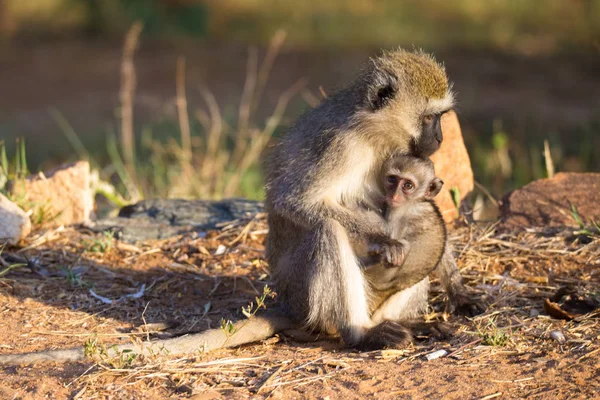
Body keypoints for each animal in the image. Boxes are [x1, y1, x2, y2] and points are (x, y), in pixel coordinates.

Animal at [356, 153, 446, 312]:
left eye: (408, 185)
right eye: (392, 179)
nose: (394, 196)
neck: (417, 201)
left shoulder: (399, 215)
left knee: (403, 246)